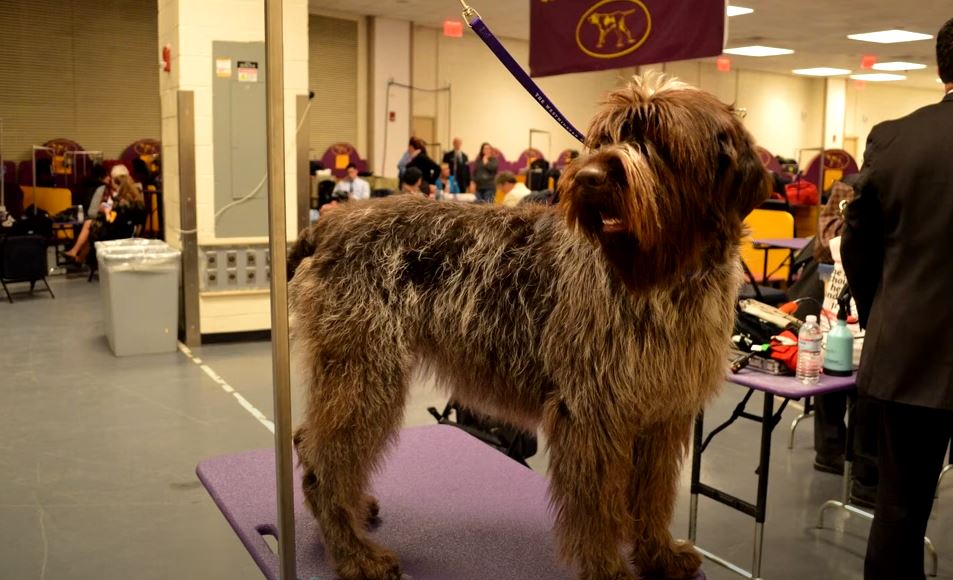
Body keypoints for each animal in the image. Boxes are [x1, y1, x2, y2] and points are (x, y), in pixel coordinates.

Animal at [286, 76, 768, 580]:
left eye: (658, 139)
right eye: (604, 138)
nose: (588, 178)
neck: (664, 278)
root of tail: (328, 225)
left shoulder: (663, 415)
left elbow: (652, 498)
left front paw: (659, 554)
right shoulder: (593, 414)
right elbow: (598, 509)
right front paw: (608, 569)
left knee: (311, 444)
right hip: (364, 376)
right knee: (323, 465)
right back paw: (355, 554)